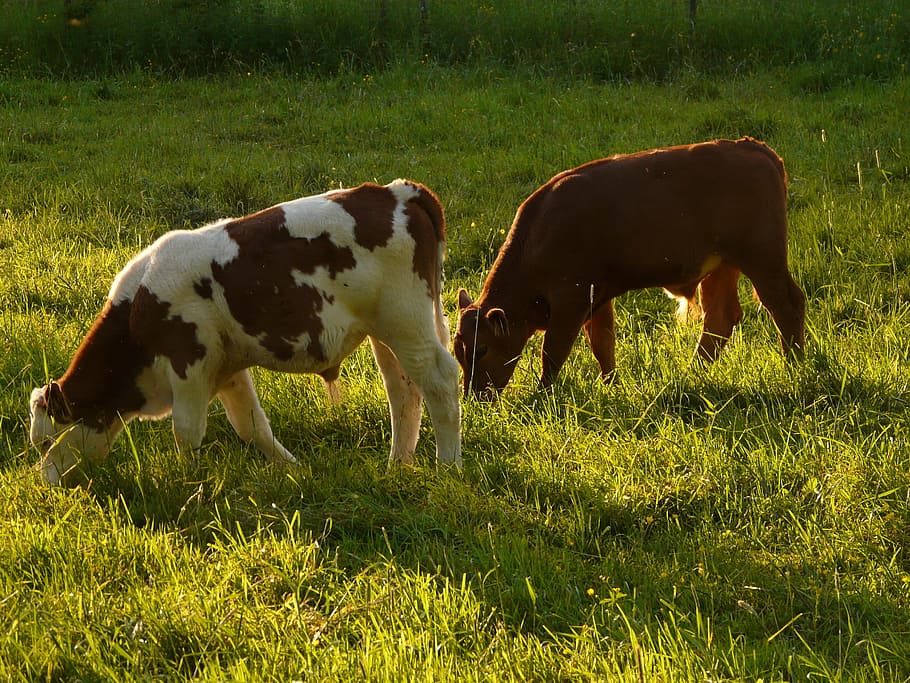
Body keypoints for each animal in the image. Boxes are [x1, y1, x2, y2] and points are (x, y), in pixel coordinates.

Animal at [29, 179, 462, 485]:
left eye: (47, 441)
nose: (46, 485)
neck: (138, 309)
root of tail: (394, 191)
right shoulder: (227, 370)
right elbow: (252, 426)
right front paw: (293, 470)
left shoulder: (188, 363)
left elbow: (187, 432)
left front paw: (188, 484)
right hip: (387, 332)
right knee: (403, 391)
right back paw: (398, 466)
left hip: (406, 322)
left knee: (439, 381)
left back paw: (447, 467)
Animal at [454, 137, 806, 398]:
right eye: (458, 350)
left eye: (482, 349)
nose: (475, 396)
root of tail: (752, 147)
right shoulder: (598, 298)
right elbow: (602, 344)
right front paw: (610, 384)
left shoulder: (571, 300)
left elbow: (553, 351)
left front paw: (542, 394)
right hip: (723, 266)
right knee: (720, 318)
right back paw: (693, 372)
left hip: (762, 259)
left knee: (786, 304)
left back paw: (794, 365)